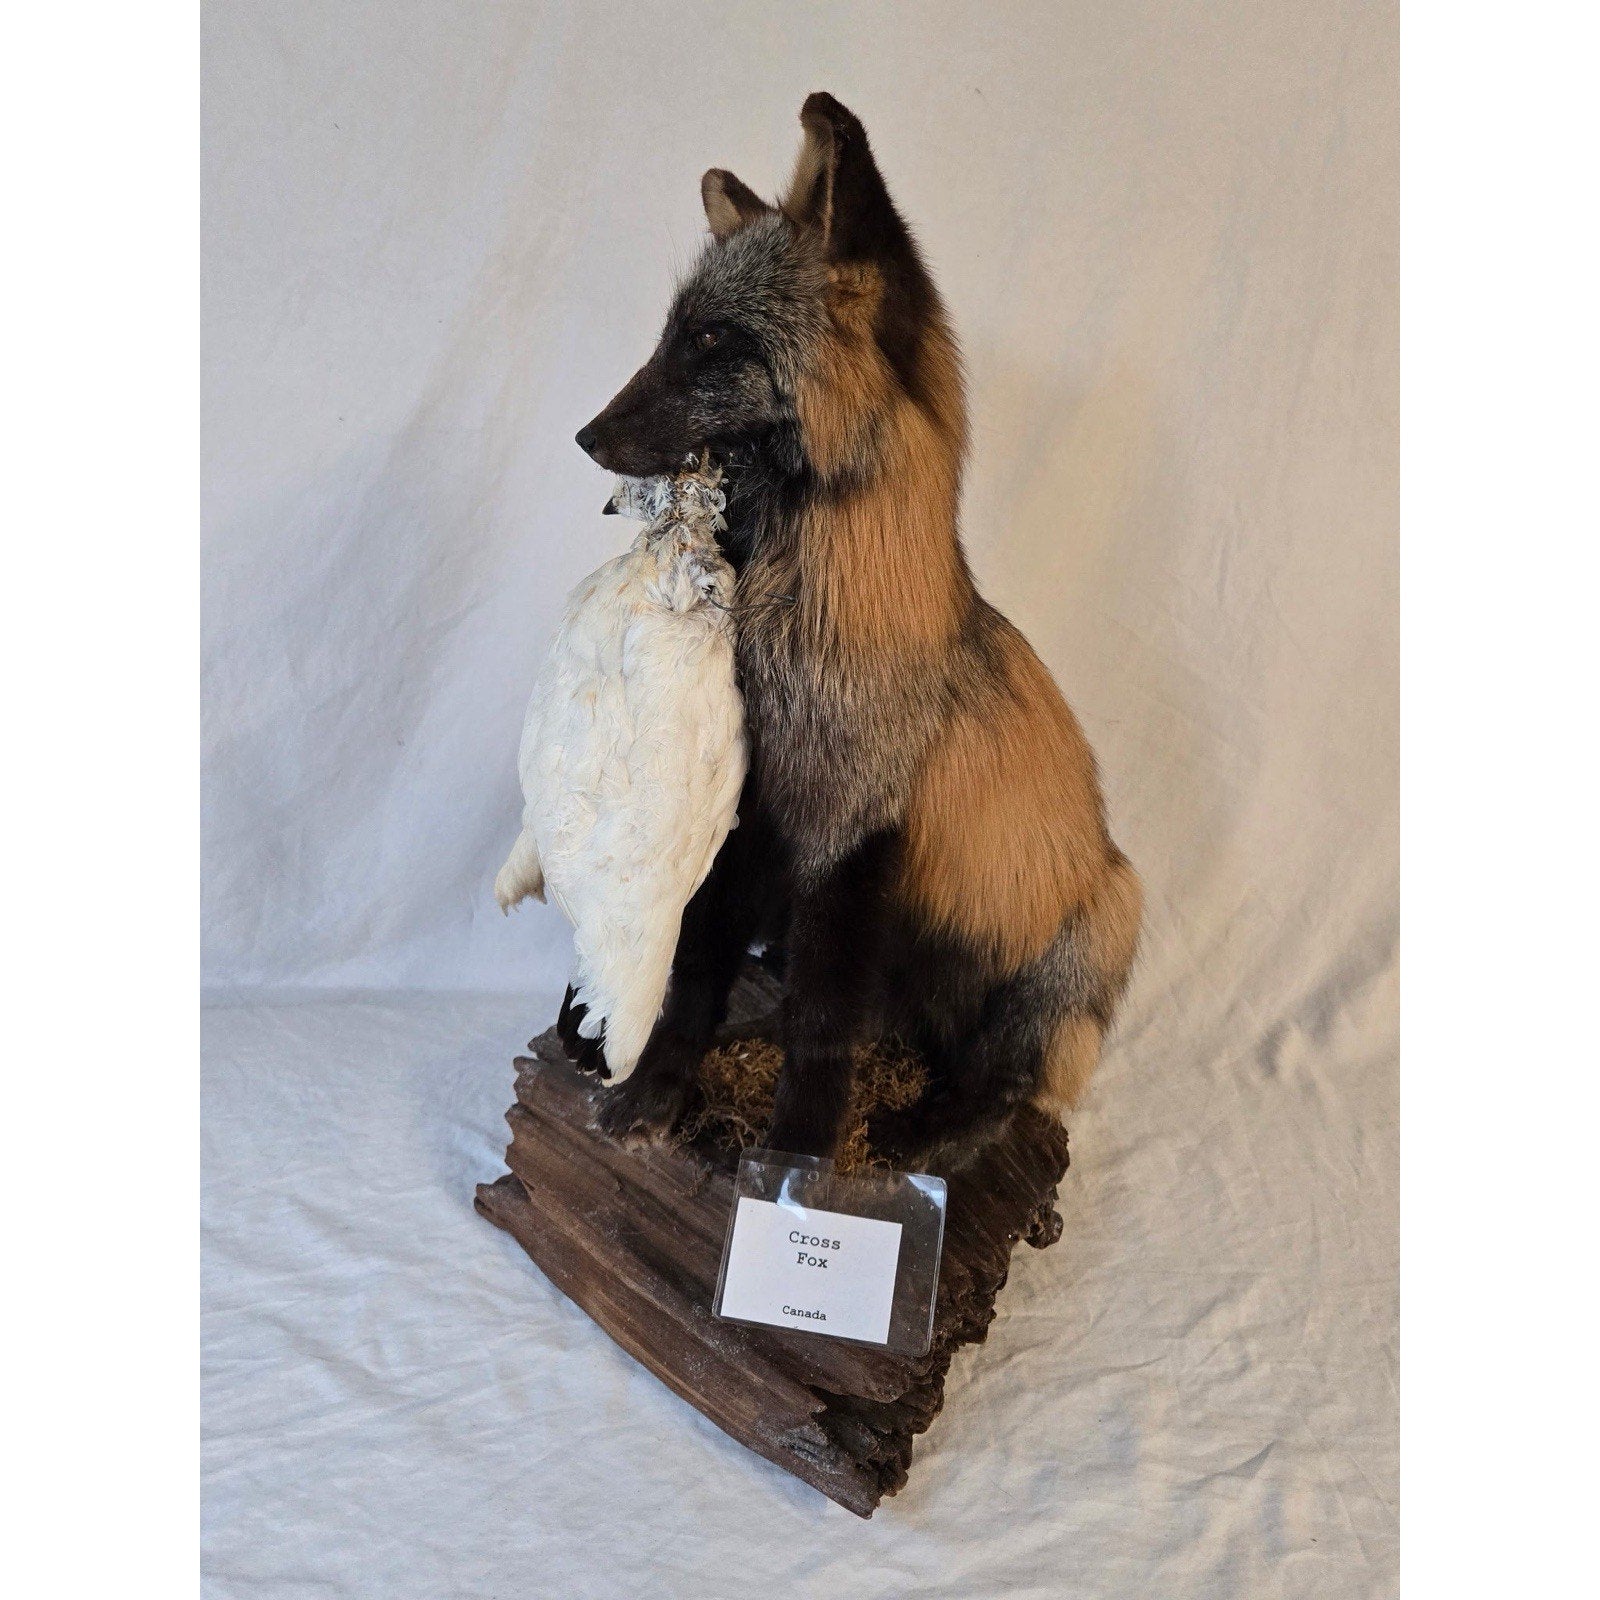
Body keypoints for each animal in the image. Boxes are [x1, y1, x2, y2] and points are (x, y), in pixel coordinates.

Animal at [566, 92, 1141, 1170]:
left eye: (713, 339)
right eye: (674, 332)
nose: (586, 437)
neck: (793, 635)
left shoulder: (849, 832)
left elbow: (822, 1028)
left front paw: (794, 1163)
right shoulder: (745, 816)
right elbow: (696, 982)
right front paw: (657, 1093)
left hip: (1100, 927)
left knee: (1003, 1084)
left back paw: (935, 1130)